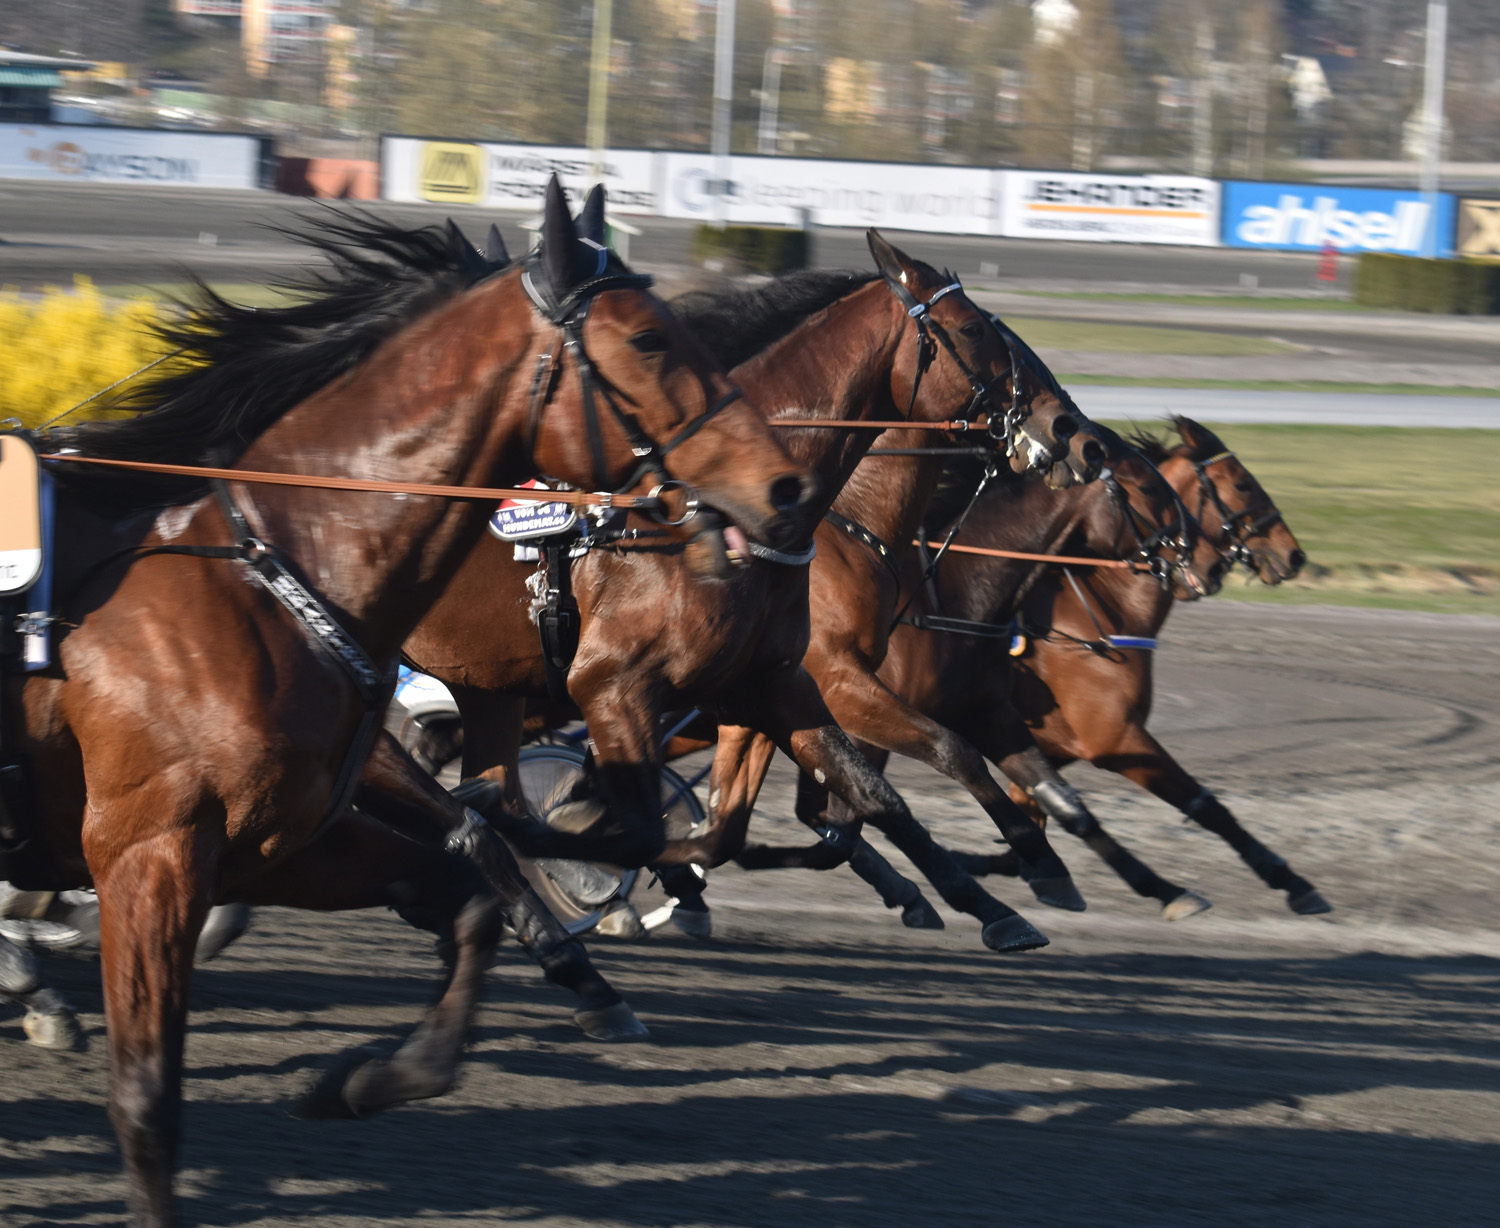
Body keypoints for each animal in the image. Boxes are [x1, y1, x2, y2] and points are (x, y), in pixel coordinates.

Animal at [5, 179, 816, 1228]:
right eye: (649, 339)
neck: (268, 573)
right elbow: (146, 1098)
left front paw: (364, 1081)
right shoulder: (152, 855)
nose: (788, 485)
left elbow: (468, 898)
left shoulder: (283, 841)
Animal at [402, 232, 1104, 959]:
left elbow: (843, 800)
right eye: (972, 329)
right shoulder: (769, 680)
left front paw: (993, 900)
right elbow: (944, 751)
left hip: (489, 679)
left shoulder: (770, 684)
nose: (1075, 434)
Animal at [990, 419, 1332, 911]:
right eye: (1242, 484)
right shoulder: (1112, 737)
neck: (1100, 607)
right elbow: (1205, 804)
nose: (1295, 555)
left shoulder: (1048, 746)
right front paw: (1291, 881)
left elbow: (1029, 823)